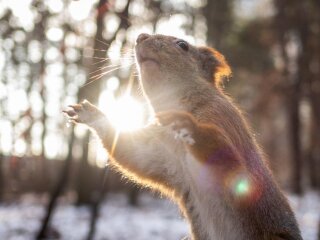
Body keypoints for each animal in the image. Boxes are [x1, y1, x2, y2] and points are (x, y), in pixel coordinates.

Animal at [63, 33, 302, 240]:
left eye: (183, 45)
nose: (141, 36)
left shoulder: (224, 120)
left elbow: (230, 161)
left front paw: (187, 124)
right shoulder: (165, 157)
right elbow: (135, 154)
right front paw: (91, 114)